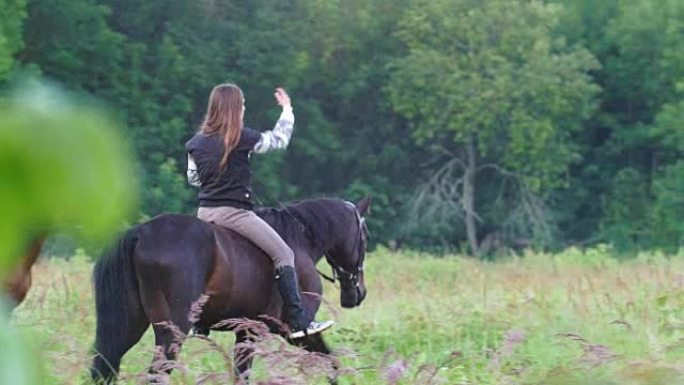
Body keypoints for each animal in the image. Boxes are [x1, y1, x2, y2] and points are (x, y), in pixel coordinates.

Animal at [92, 196, 368, 382]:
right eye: (365, 236)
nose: (359, 293)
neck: (300, 240)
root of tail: (139, 233)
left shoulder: (246, 331)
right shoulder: (295, 332)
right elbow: (331, 361)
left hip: (130, 326)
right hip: (172, 330)